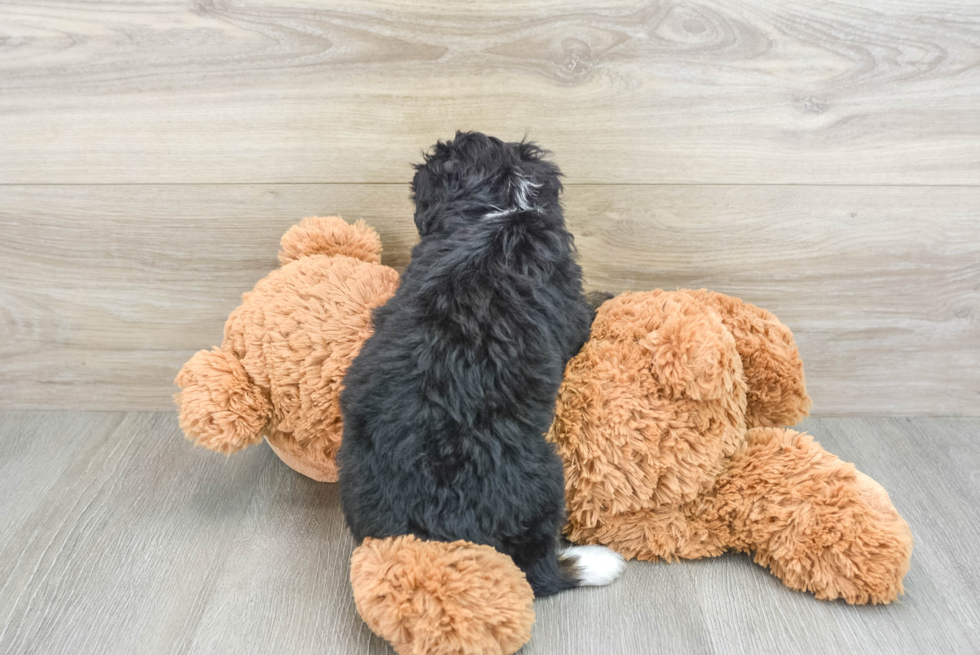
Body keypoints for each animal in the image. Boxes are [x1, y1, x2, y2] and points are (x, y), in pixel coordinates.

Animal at [336, 131, 624, 596]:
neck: (498, 208)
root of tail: (436, 536)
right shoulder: (572, 313)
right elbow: (588, 312)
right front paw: (607, 299)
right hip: (543, 478)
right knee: (540, 571)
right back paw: (596, 561)